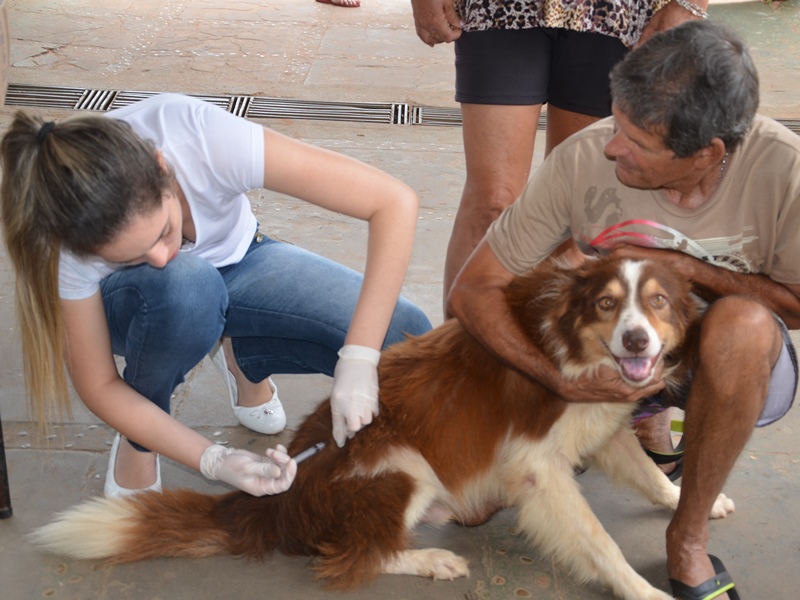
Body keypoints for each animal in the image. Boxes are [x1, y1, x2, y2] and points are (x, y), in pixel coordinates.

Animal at [32, 255, 736, 600]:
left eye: (659, 302)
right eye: (608, 305)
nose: (638, 340)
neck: (568, 340)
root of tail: (275, 502)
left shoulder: (603, 426)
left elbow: (645, 471)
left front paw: (690, 497)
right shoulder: (539, 468)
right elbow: (599, 543)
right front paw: (643, 593)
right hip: (400, 463)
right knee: (349, 556)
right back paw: (430, 559)